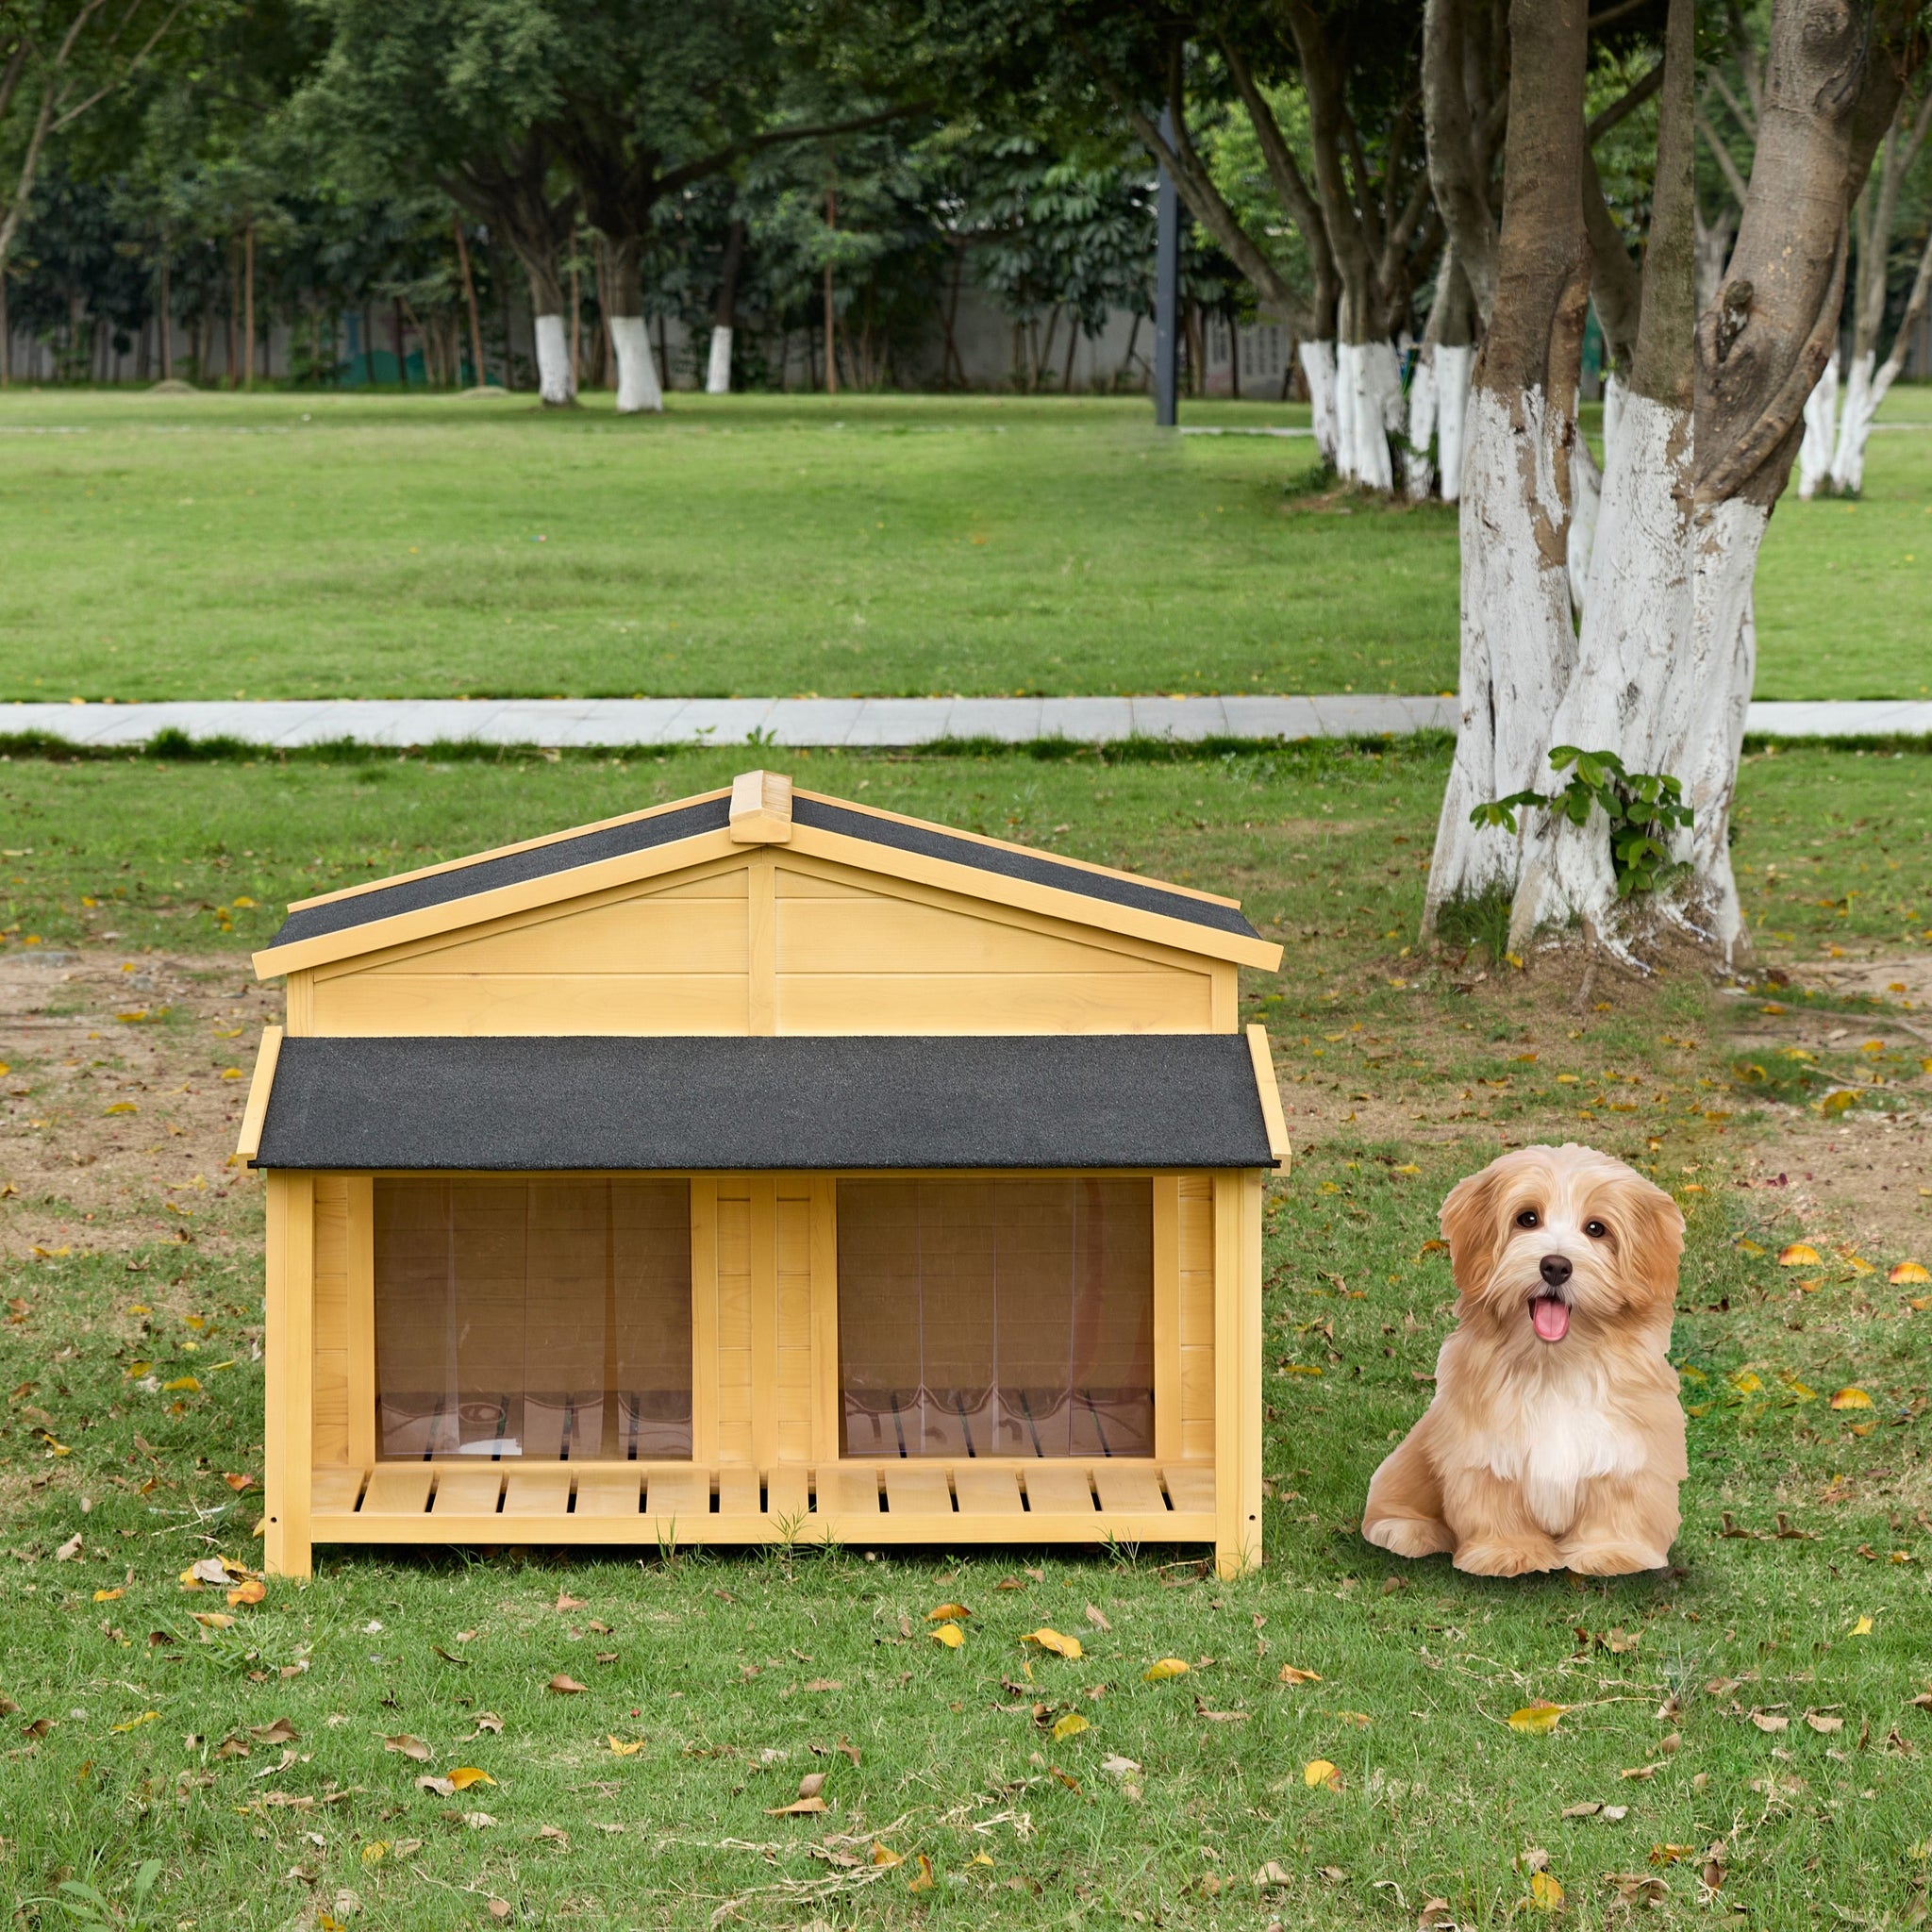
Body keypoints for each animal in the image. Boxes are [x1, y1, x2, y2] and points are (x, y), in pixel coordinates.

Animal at [1367, 1143, 1684, 1568]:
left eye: (1596, 1229)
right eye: (1527, 1219)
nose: (1556, 1266)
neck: (1555, 1363)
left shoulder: (1626, 1446)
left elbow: (1618, 1498)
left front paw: (1611, 1552)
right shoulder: (1483, 1446)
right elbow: (1494, 1497)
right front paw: (1508, 1552)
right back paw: (1408, 1532)